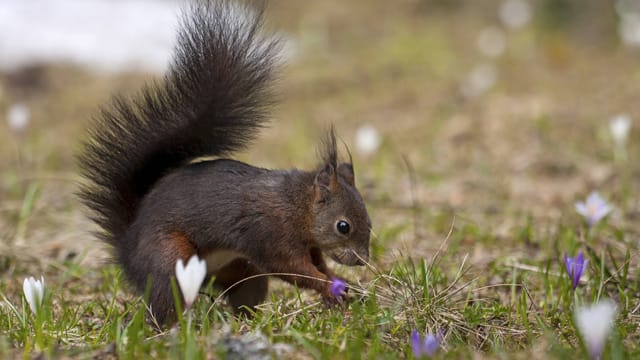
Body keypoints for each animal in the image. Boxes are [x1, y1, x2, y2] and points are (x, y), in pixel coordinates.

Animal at [76, 0, 370, 324]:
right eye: (343, 226)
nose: (363, 261)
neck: (297, 207)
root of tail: (126, 249)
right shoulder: (270, 234)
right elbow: (291, 268)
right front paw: (328, 286)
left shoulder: (309, 243)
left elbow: (317, 263)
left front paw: (340, 285)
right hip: (169, 259)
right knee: (164, 302)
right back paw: (173, 327)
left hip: (241, 271)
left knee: (244, 295)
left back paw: (250, 321)